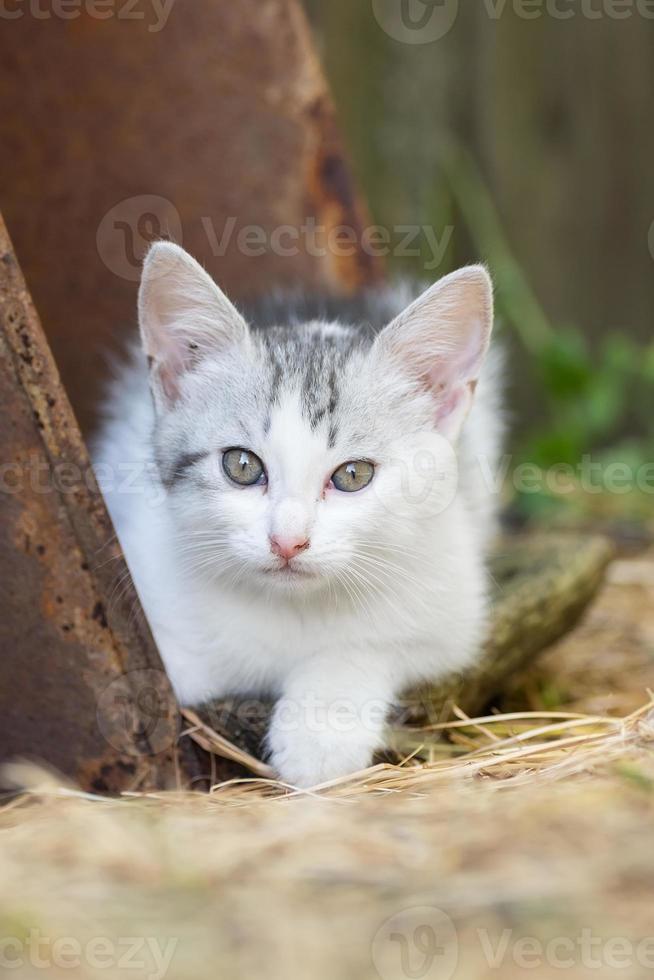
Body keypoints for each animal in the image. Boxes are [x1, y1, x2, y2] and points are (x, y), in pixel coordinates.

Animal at [93, 243, 502, 788]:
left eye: (353, 474)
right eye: (242, 466)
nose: (288, 541)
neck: (292, 610)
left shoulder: (453, 613)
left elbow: (377, 641)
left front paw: (319, 731)